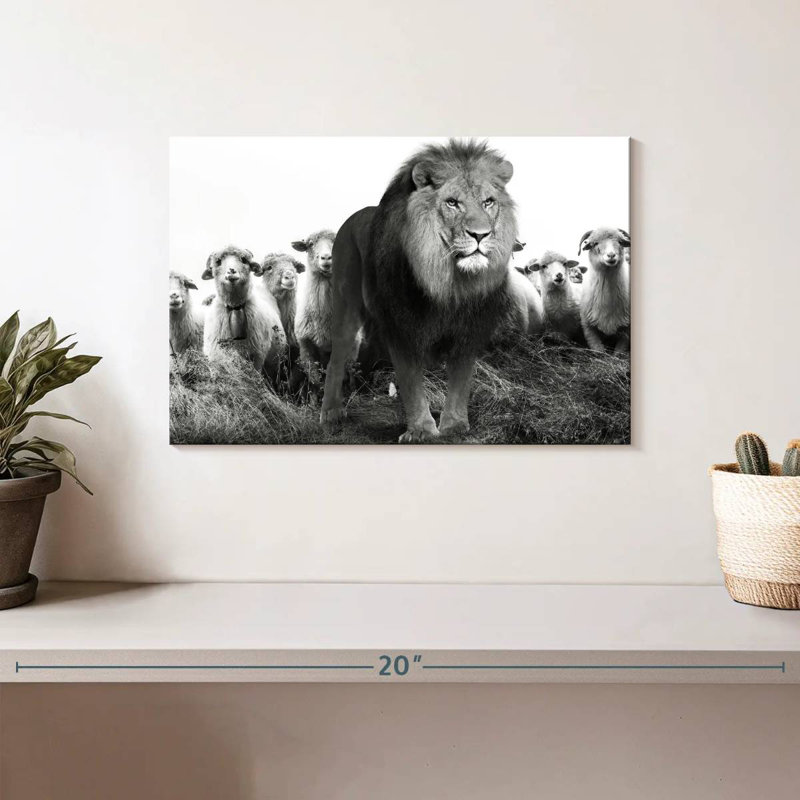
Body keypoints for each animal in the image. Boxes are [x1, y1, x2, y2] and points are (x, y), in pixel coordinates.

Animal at [201, 245, 287, 378]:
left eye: (244, 260)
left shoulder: (258, 355)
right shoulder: (215, 357)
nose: (231, 271)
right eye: (218, 261)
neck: (235, 307)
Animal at [320, 139, 519, 442]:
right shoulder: (401, 325)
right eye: (452, 203)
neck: (448, 282)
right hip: (346, 306)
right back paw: (331, 413)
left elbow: (461, 379)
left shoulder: (468, 328)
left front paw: (454, 427)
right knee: (336, 357)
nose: (481, 235)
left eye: (488, 202)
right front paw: (422, 431)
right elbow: (411, 381)